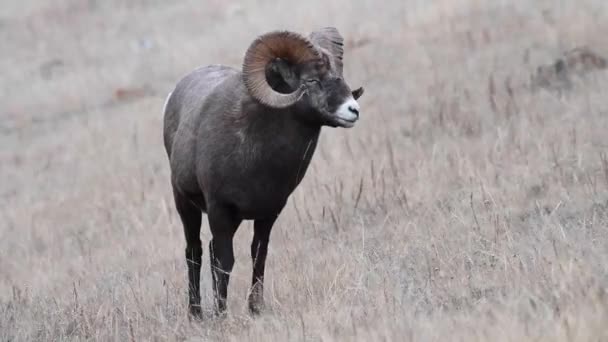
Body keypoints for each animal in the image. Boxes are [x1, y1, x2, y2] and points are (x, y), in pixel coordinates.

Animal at [162, 27, 364, 318]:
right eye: (312, 80)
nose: (353, 110)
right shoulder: (220, 210)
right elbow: (225, 261)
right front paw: (221, 315)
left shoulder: (268, 214)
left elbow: (258, 255)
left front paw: (255, 309)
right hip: (185, 204)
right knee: (195, 252)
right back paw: (196, 314)